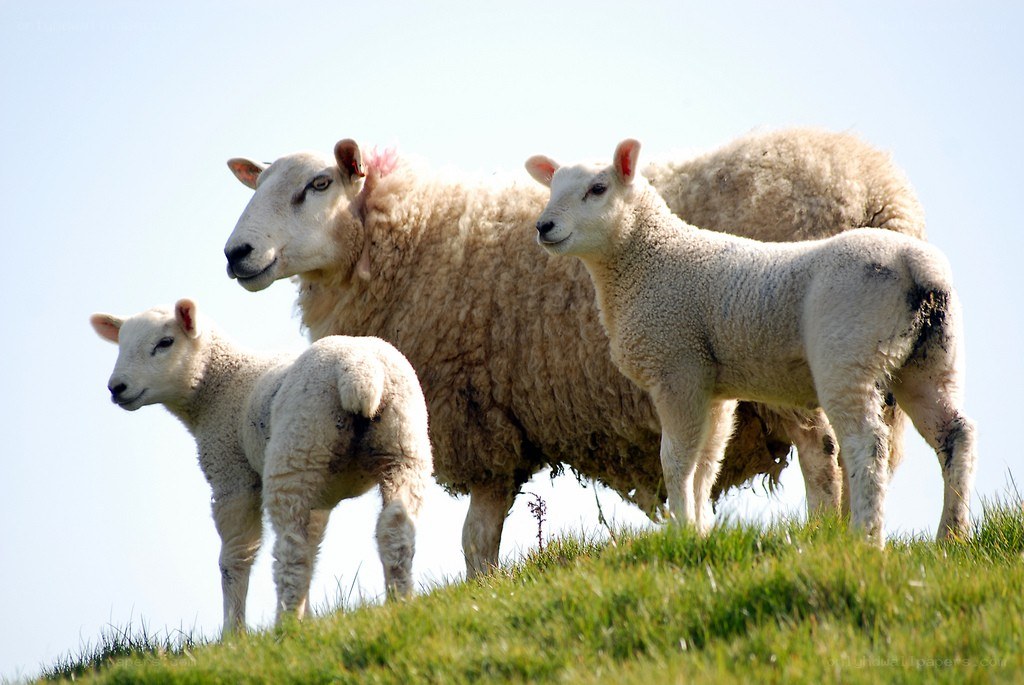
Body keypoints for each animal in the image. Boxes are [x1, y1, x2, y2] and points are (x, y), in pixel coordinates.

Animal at [90, 298, 431, 632]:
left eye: (165, 342)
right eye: (121, 345)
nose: (117, 387)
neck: (220, 386)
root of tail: (359, 370)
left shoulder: (231, 475)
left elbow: (235, 558)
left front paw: (234, 633)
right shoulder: (321, 493)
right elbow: (314, 546)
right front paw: (308, 619)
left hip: (295, 451)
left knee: (291, 549)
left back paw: (286, 624)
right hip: (401, 446)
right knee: (395, 526)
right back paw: (400, 601)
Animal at [222, 128, 925, 576]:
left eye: (318, 183)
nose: (236, 254)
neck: (413, 238)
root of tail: (877, 190)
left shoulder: (483, 425)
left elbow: (477, 539)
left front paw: (481, 592)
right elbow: (480, 540)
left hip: (791, 360)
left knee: (824, 454)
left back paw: (825, 539)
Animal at [525, 138, 976, 544]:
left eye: (598, 189)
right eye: (552, 188)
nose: (543, 227)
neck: (648, 259)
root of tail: (915, 265)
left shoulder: (677, 367)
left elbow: (676, 459)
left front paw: (681, 530)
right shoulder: (712, 386)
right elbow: (707, 461)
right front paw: (700, 530)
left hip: (848, 355)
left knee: (867, 443)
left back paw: (866, 537)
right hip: (931, 359)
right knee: (955, 434)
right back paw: (950, 536)